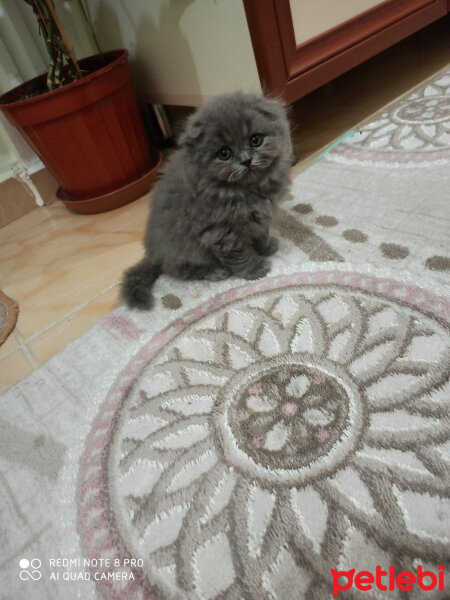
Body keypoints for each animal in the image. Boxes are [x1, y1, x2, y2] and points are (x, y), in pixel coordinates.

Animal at [121, 95, 294, 310]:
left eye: (255, 140)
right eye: (224, 154)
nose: (246, 160)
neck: (246, 190)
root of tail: (153, 254)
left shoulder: (260, 219)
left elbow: (261, 234)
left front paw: (266, 247)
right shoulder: (221, 232)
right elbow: (239, 254)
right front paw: (254, 268)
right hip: (186, 251)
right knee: (181, 270)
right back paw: (216, 271)